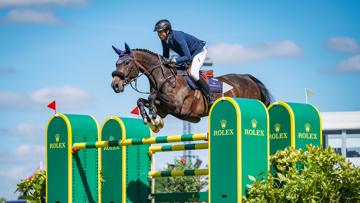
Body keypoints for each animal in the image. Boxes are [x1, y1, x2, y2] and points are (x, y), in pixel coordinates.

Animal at [110, 43, 270, 132]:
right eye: (116, 63)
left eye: (127, 63)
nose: (115, 85)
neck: (164, 78)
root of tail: (248, 78)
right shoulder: (164, 109)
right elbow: (141, 100)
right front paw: (149, 119)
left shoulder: (176, 105)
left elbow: (151, 97)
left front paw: (154, 118)